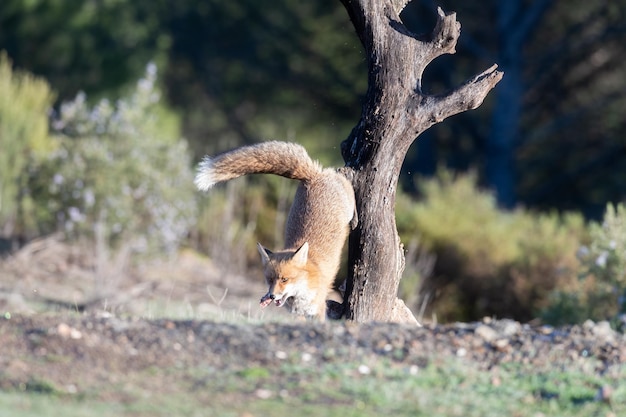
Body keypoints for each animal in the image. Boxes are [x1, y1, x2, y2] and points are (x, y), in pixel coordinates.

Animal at [193, 141, 354, 320]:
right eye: (270, 279)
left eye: (284, 279)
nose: (271, 295)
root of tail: (313, 176)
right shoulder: (297, 315)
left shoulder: (318, 310)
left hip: (347, 204)